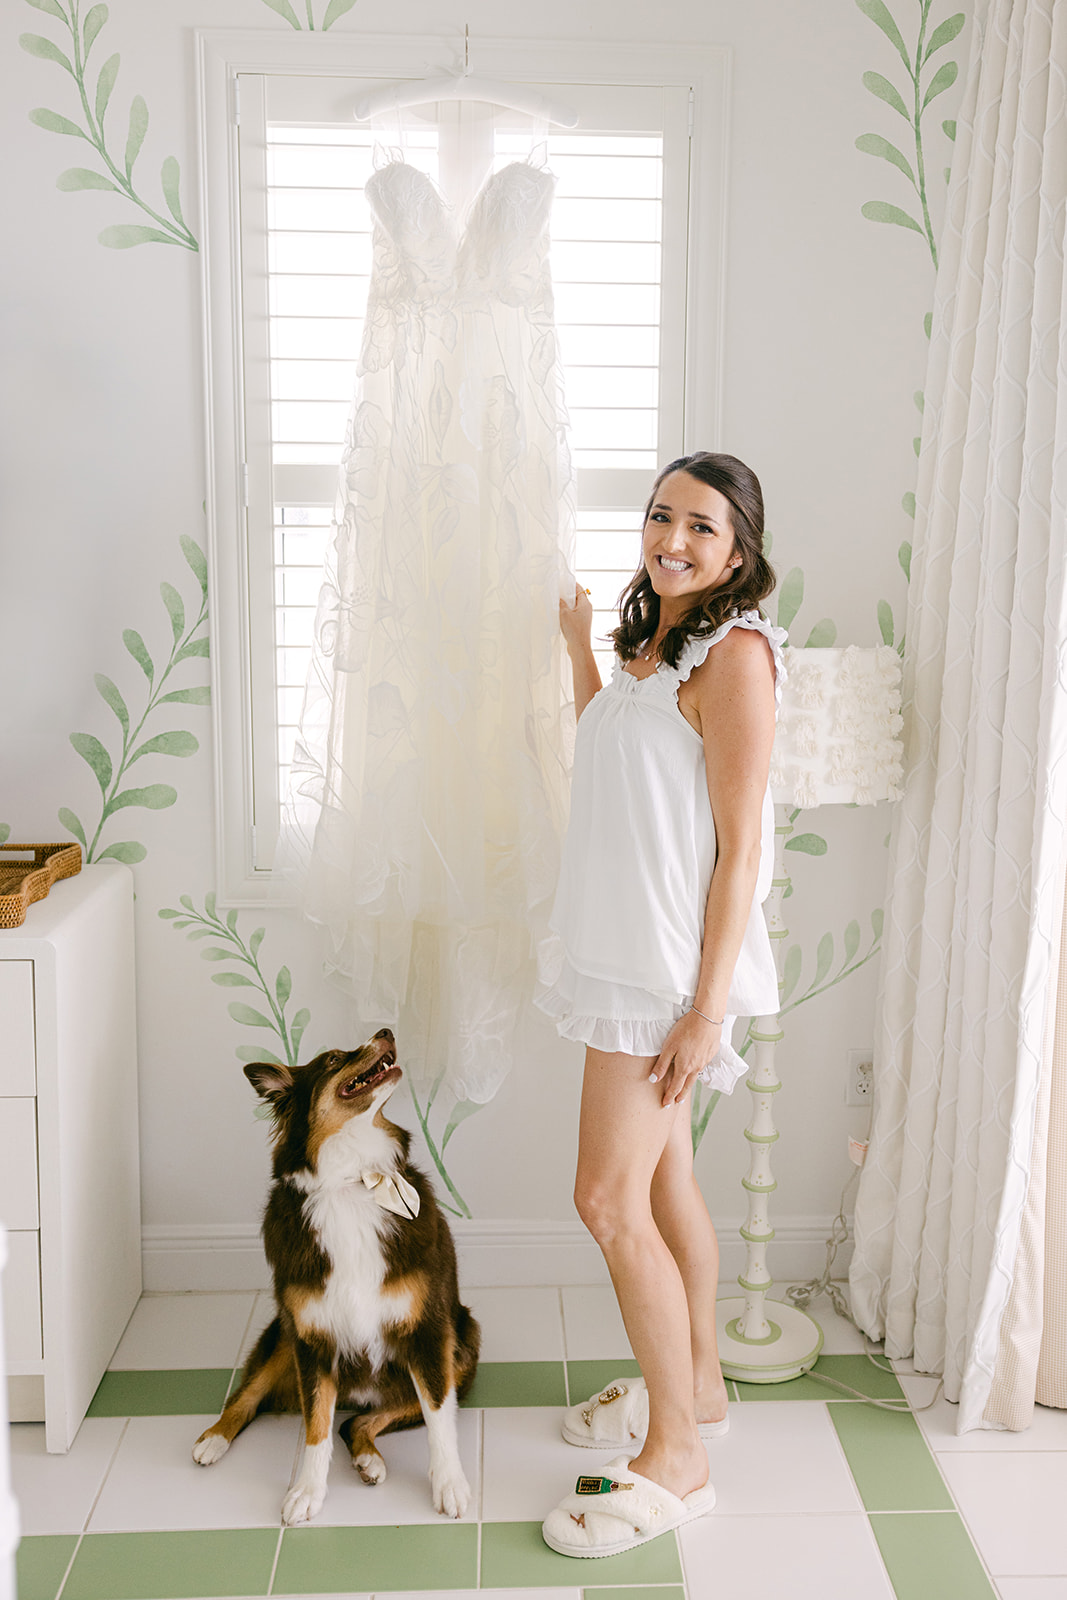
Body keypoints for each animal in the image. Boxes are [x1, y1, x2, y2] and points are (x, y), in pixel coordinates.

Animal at [191, 1030, 479, 1516]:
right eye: (331, 1060)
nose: (385, 1031)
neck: (353, 1182)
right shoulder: (311, 1337)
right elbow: (316, 1426)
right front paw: (307, 1491)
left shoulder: (428, 1330)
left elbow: (440, 1419)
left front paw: (450, 1485)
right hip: (283, 1337)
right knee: (248, 1398)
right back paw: (213, 1438)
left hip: (463, 1345)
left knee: (356, 1423)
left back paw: (368, 1457)